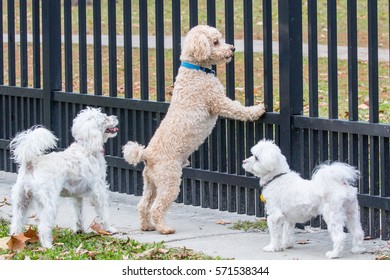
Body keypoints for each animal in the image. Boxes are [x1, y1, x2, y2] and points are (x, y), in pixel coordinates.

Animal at [9, 106, 119, 247]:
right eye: (104, 118)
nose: (115, 117)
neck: (86, 146)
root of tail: (31, 163)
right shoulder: (99, 191)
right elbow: (103, 211)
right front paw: (109, 229)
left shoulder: (76, 196)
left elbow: (78, 214)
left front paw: (79, 230)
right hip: (48, 201)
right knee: (43, 226)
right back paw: (48, 245)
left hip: (21, 201)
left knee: (17, 222)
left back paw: (15, 240)